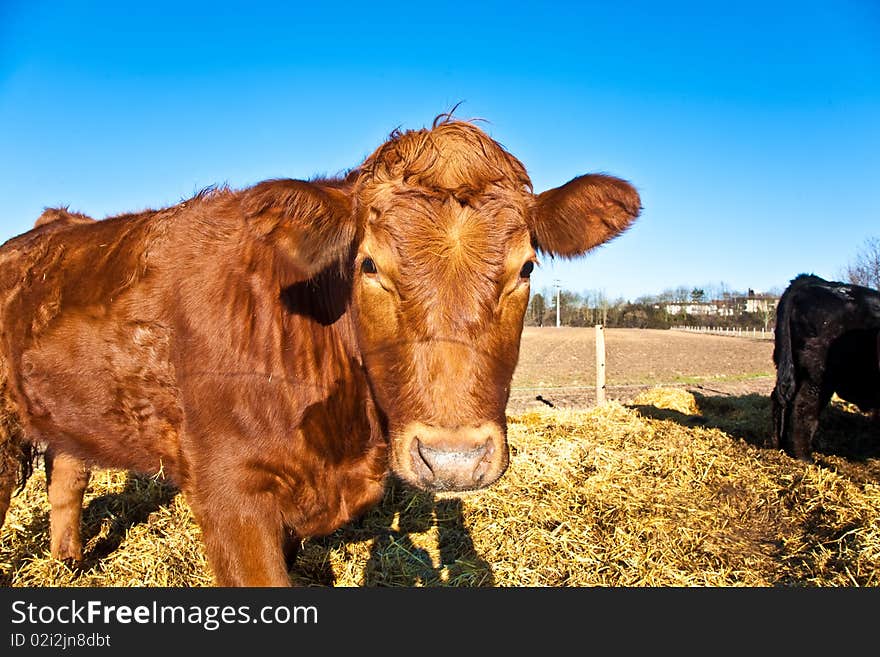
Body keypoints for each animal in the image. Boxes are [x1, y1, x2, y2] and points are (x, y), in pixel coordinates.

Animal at [0, 116, 640, 584]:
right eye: (369, 264)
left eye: (526, 267)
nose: (454, 461)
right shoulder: (229, 494)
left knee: (67, 476)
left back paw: (69, 564)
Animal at [768, 274, 880, 458]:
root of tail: (811, 280)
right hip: (819, 376)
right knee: (803, 408)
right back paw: (805, 457)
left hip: (790, 367)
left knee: (781, 400)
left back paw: (778, 446)